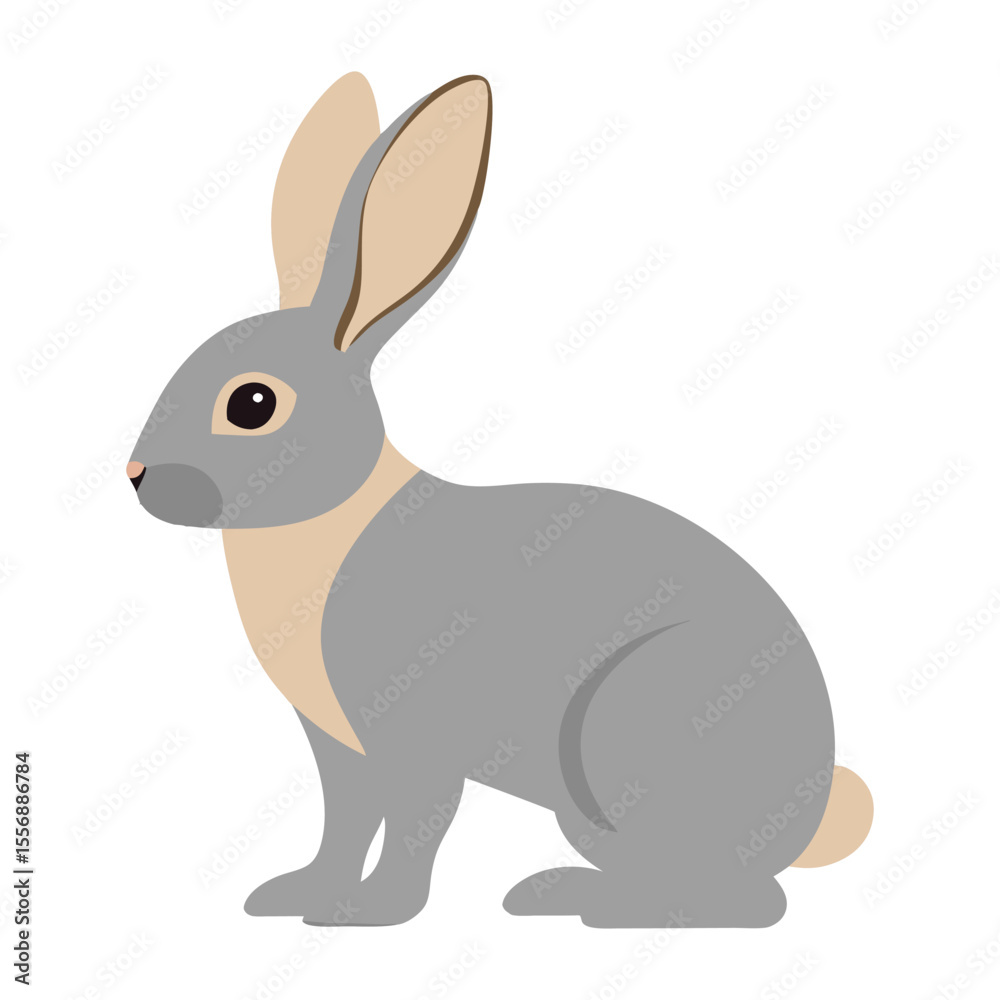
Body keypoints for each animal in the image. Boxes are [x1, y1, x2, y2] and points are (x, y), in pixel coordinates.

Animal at [127, 72, 873, 928]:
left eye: (252, 404)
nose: (135, 474)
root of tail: (813, 812)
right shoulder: (337, 746)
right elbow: (344, 823)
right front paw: (301, 896)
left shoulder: (413, 733)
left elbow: (417, 821)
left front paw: (375, 913)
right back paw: (558, 891)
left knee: (748, 900)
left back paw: (599, 907)